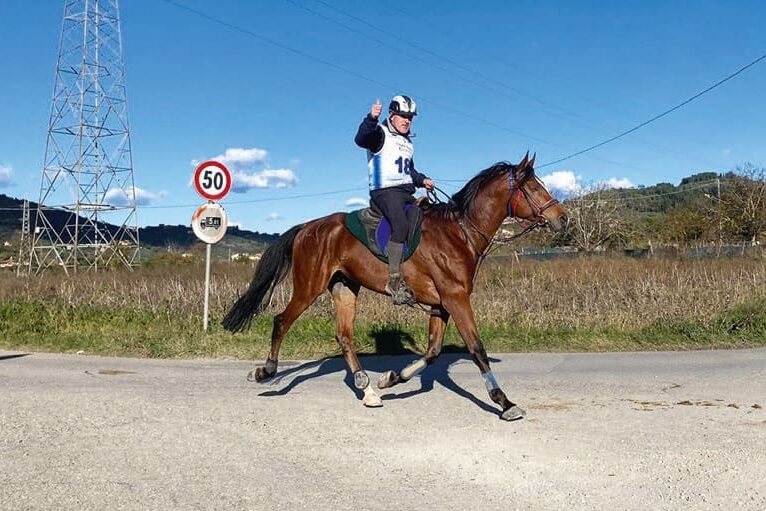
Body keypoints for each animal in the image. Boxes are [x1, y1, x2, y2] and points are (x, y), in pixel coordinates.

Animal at [225, 153, 568, 420]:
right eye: (534, 187)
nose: (563, 218)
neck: (459, 233)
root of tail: (307, 227)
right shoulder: (456, 299)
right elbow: (477, 350)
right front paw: (504, 402)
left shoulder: (441, 304)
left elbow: (433, 352)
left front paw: (391, 379)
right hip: (309, 286)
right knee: (281, 321)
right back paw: (266, 372)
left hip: (345, 287)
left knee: (344, 336)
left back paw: (367, 388)